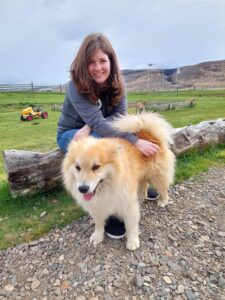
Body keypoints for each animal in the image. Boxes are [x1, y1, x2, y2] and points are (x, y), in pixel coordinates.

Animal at [61, 112, 176, 251]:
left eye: (96, 167)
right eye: (77, 167)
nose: (82, 189)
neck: (106, 188)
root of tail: (147, 133)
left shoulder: (128, 204)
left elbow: (131, 225)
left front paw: (132, 241)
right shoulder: (97, 206)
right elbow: (99, 223)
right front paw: (98, 236)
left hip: (156, 175)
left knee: (163, 188)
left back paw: (163, 201)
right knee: (143, 184)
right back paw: (141, 196)